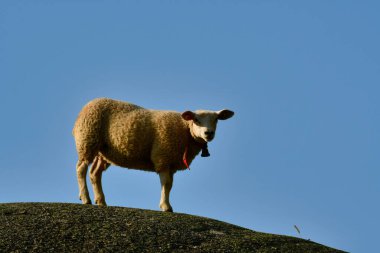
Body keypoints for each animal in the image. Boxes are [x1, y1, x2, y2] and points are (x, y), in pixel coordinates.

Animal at [72, 98, 233, 212]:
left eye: (216, 120)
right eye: (196, 120)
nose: (208, 133)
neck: (185, 131)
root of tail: (84, 108)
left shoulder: (171, 162)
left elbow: (170, 185)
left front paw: (166, 205)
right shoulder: (163, 157)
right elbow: (166, 184)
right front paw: (166, 207)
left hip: (103, 152)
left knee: (95, 173)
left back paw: (101, 201)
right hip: (87, 140)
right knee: (81, 169)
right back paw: (86, 198)